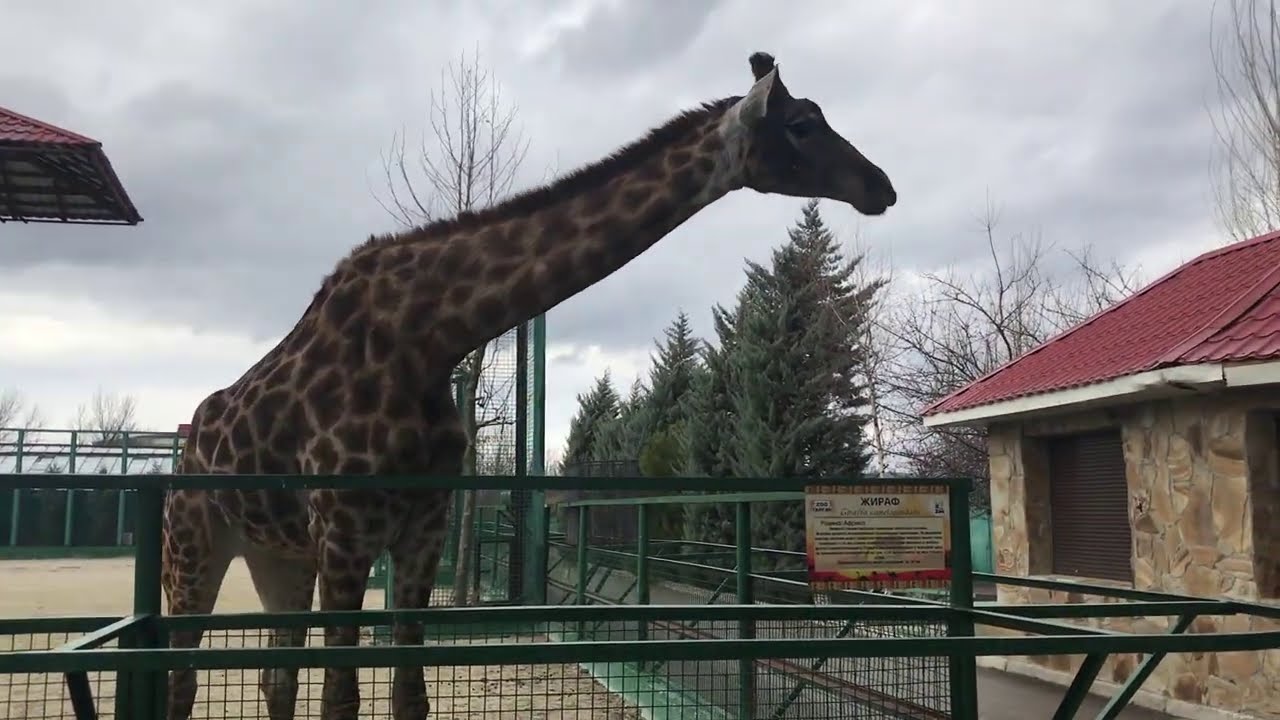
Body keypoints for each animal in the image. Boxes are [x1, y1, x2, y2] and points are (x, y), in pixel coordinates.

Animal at [160, 50, 896, 720]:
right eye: (801, 124)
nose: (882, 185)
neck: (428, 336)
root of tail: (189, 436)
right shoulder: (344, 528)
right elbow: (342, 699)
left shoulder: (422, 526)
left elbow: (408, 695)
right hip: (192, 541)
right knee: (183, 677)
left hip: (275, 552)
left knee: (273, 677)